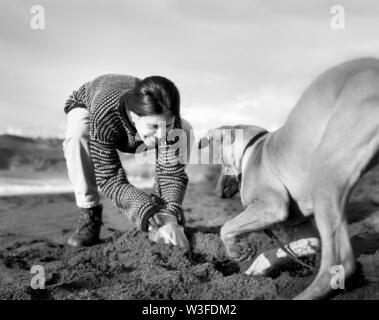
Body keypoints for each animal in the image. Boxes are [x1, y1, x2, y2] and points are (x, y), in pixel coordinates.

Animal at [202, 58, 379, 300]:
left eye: (220, 161)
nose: (215, 193)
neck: (254, 148)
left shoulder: (272, 206)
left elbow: (226, 226)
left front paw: (236, 250)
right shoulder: (302, 228)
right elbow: (292, 247)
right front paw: (254, 270)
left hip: (326, 176)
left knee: (340, 262)